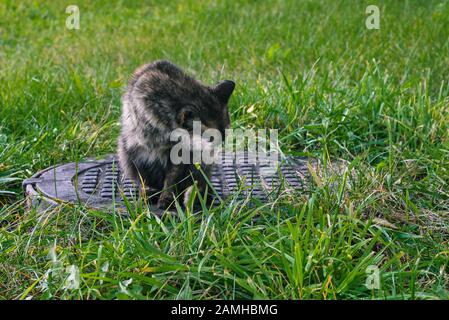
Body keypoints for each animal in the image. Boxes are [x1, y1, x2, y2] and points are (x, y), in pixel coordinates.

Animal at [117, 61, 234, 209]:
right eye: (210, 138)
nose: (213, 149)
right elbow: (148, 178)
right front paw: (163, 197)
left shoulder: (181, 156)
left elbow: (172, 179)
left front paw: (168, 198)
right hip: (126, 153)